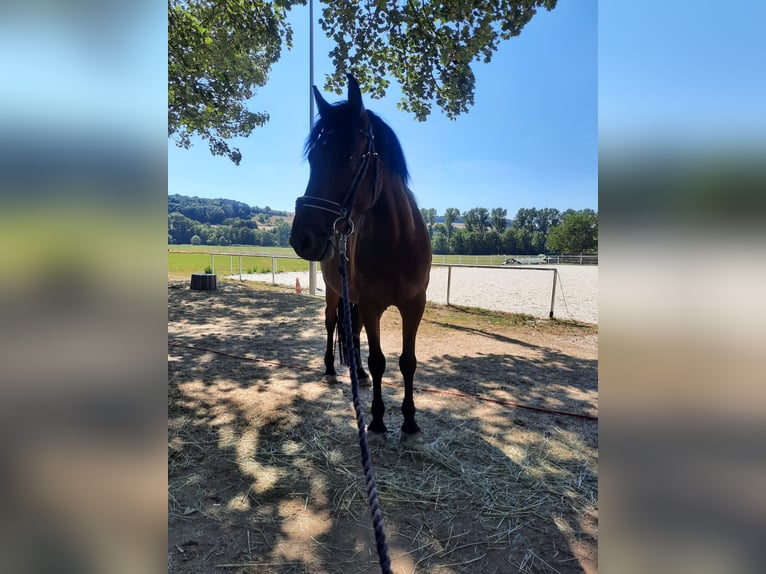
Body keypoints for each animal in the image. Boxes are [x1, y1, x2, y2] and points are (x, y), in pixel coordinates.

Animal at [290, 74, 432, 446]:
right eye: (313, 159)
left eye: (348, 155)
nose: (301, 238)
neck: (396, 242)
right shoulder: (371, 305)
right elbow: (380, 359)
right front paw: (378, 420)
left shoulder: (414, 305)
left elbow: (408, 361)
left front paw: (409, 421)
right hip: (333, 293)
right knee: (331, 325)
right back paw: (331, 368)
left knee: (352, 335)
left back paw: (359, 374)